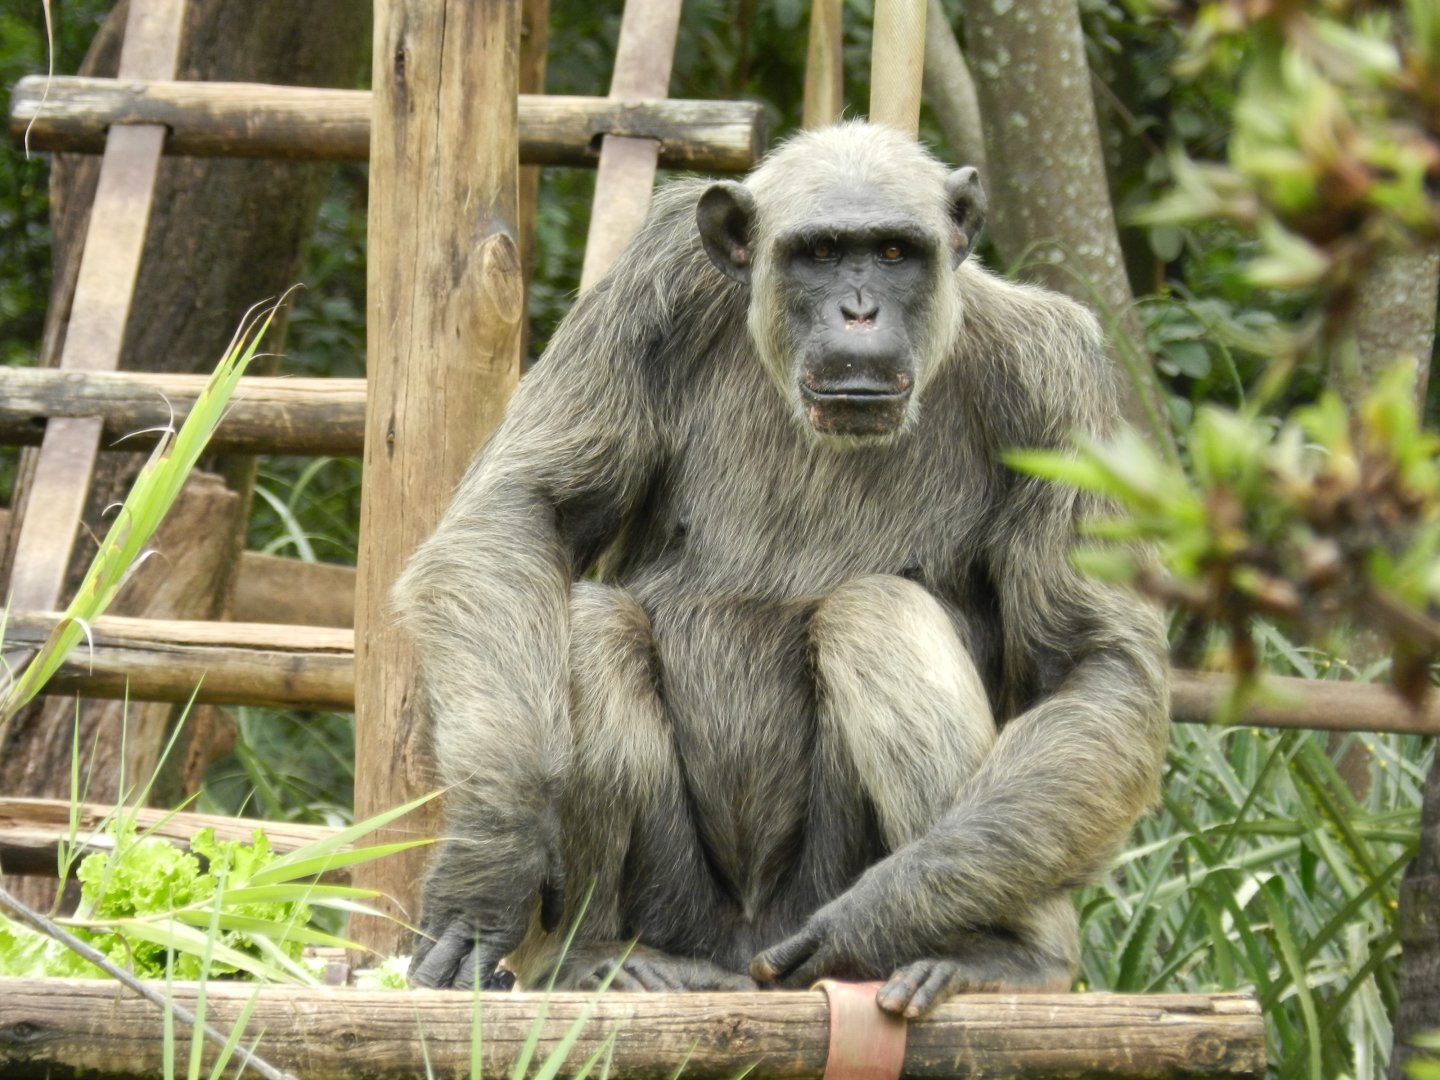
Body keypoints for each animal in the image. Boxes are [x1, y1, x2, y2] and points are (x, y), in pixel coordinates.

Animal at [398, 121, 1170, 1017]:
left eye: (895, 252)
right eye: (822, 252)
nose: (859, 309)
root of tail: (742, 954)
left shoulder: (1059, 385)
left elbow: (1091, 658)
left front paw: (887, 910)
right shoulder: (648, 292)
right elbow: (523, 513)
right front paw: (495, 855)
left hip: (803, 907)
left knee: (879, 615)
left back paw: (994, 949)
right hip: (684, 912)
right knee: (589, 621)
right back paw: (595, 954)